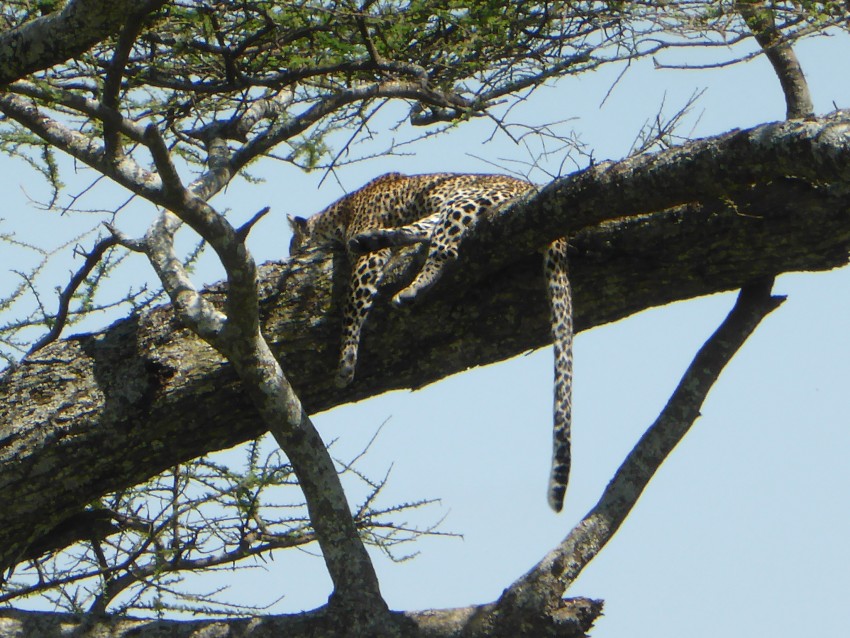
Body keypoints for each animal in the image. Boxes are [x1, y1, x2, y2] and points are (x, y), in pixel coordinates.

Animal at [288, 172, 574, 512]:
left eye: (293, 245)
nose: (290, 257)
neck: (338, 213)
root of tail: (531, 187)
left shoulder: (366, 262)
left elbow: (353, 303)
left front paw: (345, 360)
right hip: (445, 209)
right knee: (420, 233)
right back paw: (376, 239)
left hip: (464, 201)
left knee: (443, 248)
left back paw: (411, 287)